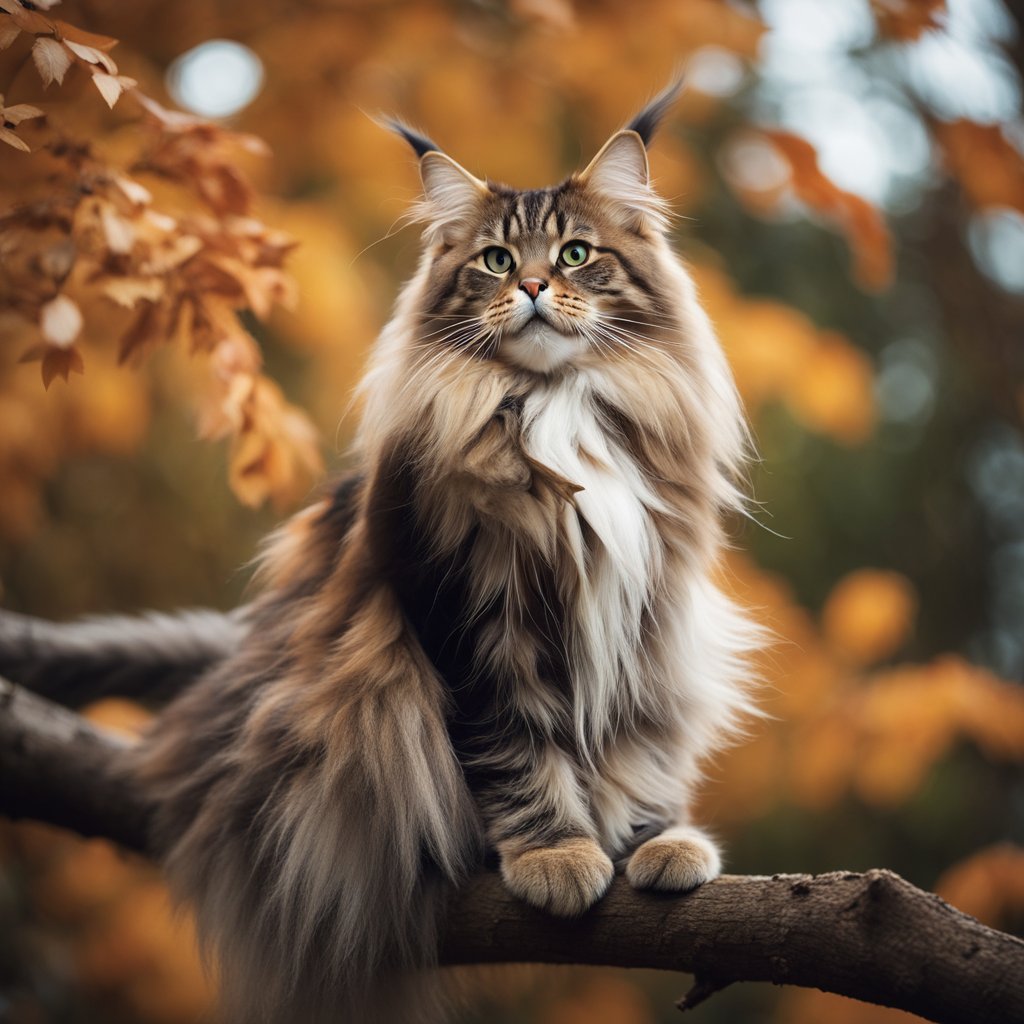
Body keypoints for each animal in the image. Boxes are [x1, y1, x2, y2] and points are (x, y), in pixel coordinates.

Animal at [0, 81, 761, 1024]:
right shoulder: (464, 609)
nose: (535, 286)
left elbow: (631, 745)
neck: (560, 408)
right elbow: (515, 750)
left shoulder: (643, 616)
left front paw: (654, 839)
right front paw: (554, 852)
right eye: (497, 261)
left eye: (578, 254)